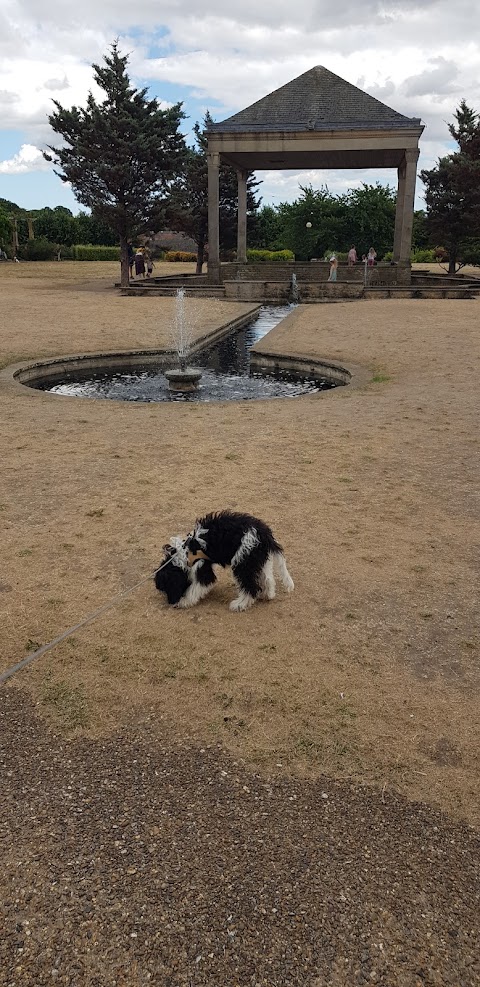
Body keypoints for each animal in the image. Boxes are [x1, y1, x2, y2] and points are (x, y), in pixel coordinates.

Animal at [156, 512, 294, 612]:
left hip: (242, 562)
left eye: (168, 586)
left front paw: (184, 601)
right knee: (268, 579)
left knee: (251, 587)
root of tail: (264, 534)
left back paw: (240, 604)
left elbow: (196, 587)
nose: (171, 603)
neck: (185, 553)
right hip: (257, 560)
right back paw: (267, 595)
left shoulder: (202, 567)